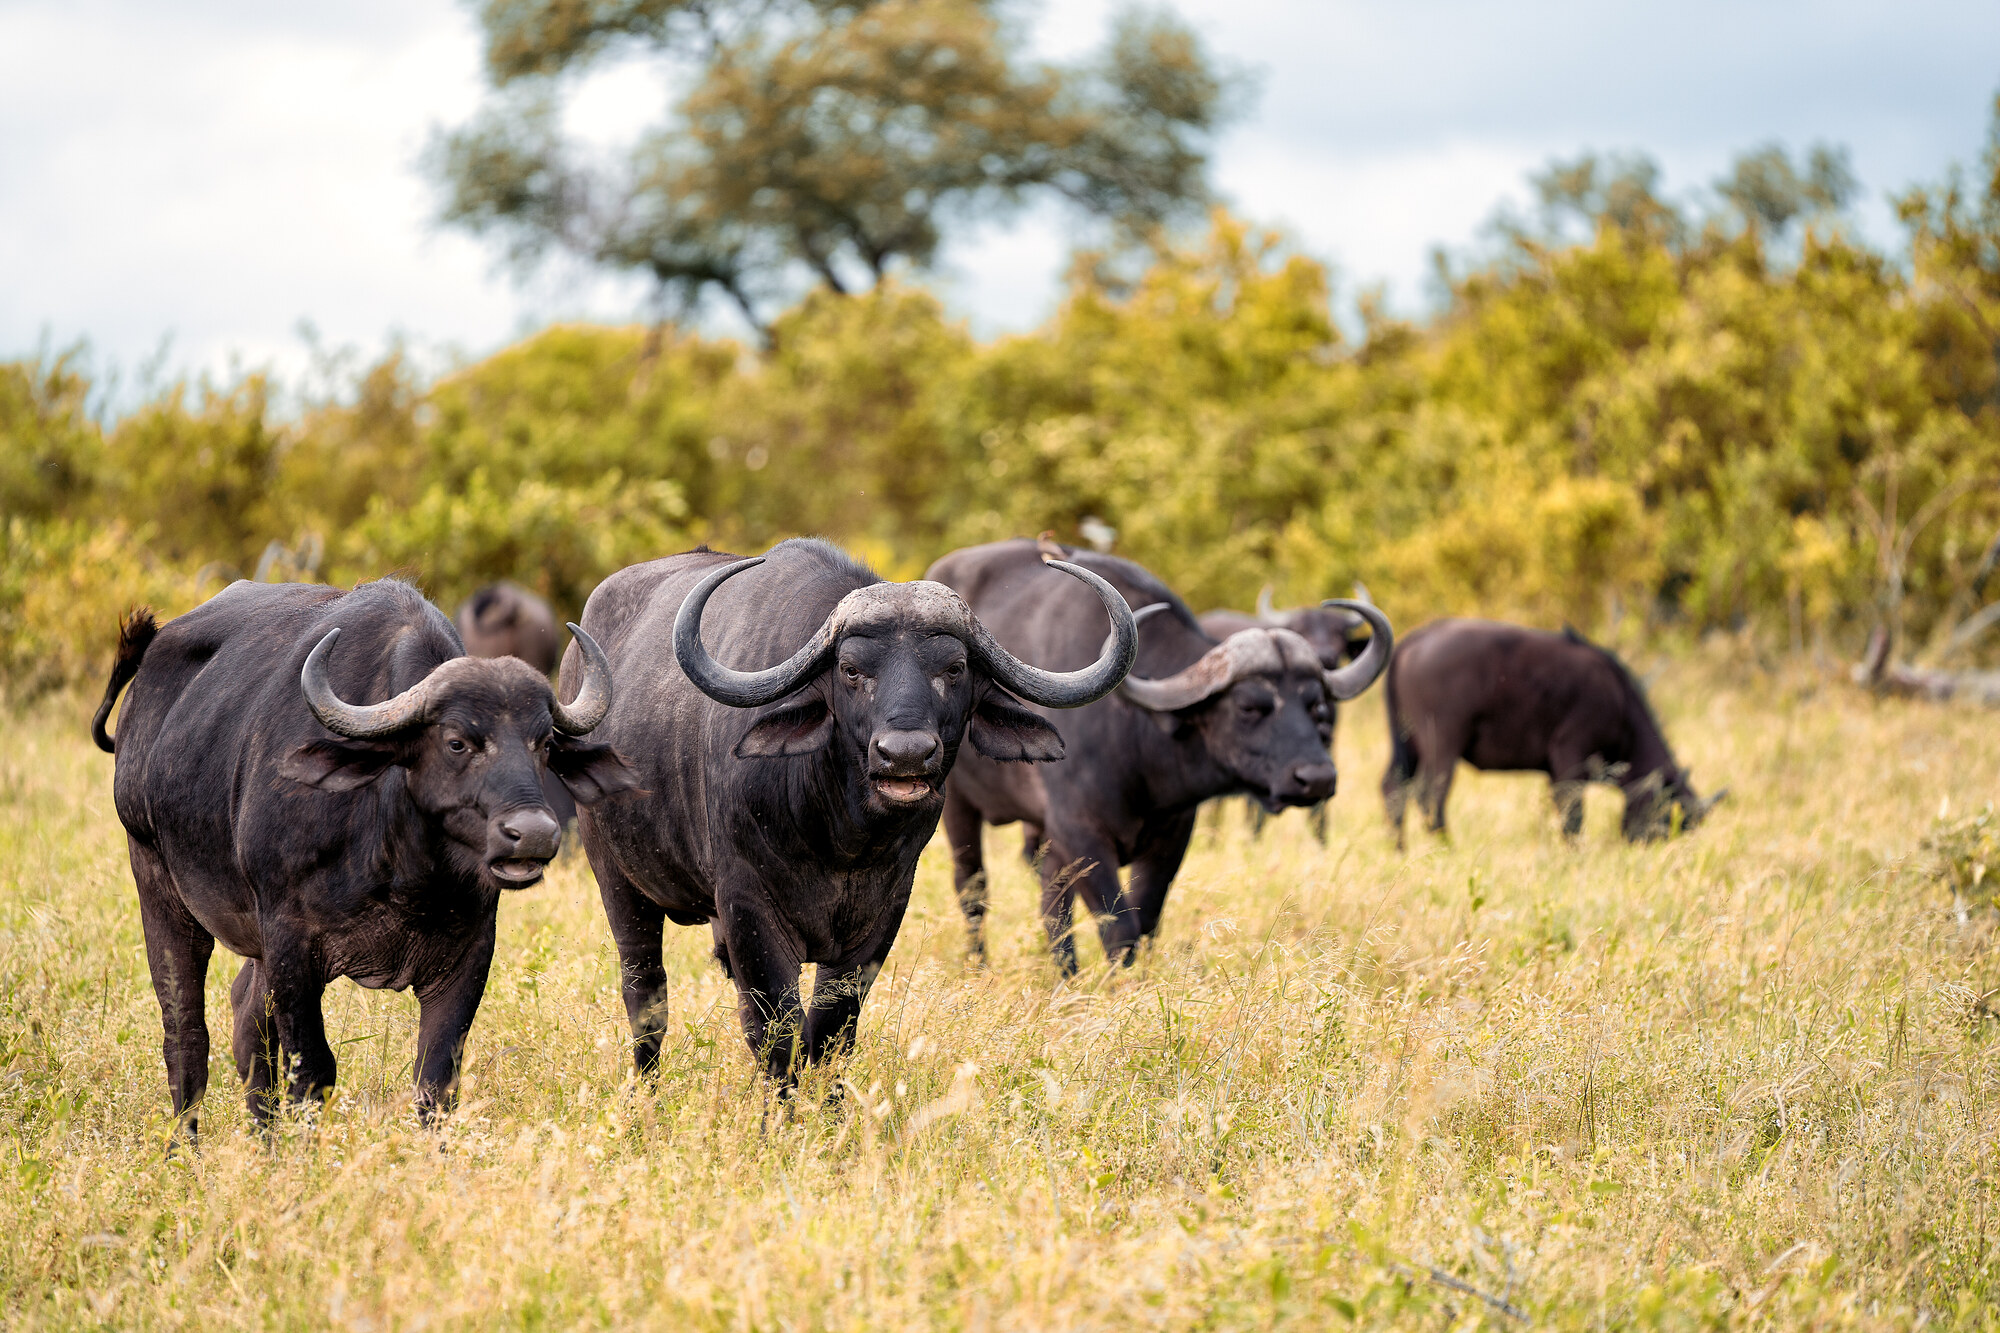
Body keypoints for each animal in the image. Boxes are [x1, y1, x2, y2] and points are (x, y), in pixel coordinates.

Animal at [93, 579, 633, 1137]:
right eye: (456, 742)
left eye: (543, 743)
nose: (532, 835)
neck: (405, 871)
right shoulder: (291, 942)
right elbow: (312, 1070)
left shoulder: (469, 953)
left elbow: (436, 1079)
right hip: (158, 885)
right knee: (185, 1035)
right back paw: (186, 1149)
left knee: (247, 1021)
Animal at [565, 539, 1136, 1081]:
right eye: (851, 669)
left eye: (954, 669)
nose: (904, 754)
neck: (840, 836)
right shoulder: (748, 907)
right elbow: (776, 1034)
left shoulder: (882, 914)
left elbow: (831, 1032)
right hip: (617, 881)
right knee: (646, 998)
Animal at [929, 539, 1392, 974]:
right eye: (1248, 706)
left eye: (1316, 705)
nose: (1316, 778)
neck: (1135, 739)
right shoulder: (1083, 834)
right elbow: (1119, 926)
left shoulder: (1171, 836)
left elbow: (1146, 920)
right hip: (960, 809)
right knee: (973, 889)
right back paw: (980, 965)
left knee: (1051, 901)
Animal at [1382, 618, 1723, 844]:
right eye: (1672, 814)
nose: (1653, 847)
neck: (1618, 701)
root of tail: (1418, 637)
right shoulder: (1570, 758)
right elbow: (1573, 815)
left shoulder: (1554, 772)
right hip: (1442, 745)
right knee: (1430, 795)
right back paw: (1445, 846)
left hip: (1408, 745)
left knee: (1393, 788)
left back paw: (1399, 848)